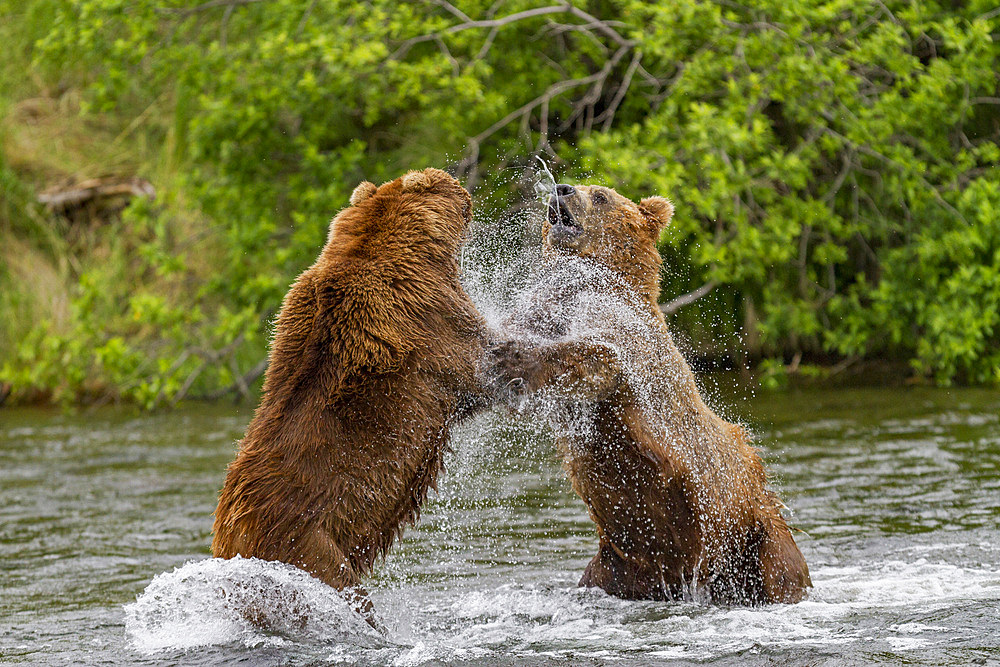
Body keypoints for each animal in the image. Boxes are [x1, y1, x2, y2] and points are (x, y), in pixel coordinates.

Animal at [213, 170, 490, 620]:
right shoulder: (429, 316)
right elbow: (486, 362)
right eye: (451, 184)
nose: (468, 191)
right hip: (309, 548)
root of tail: (229, 540)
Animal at [486, 183, 812, 604]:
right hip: (621, 564)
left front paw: (513, 360)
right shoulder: (549, 309)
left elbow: (596, 358)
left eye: (601, 195)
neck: (600, 279)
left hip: (755, 535)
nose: (562, 188)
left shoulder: (629, 339)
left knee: (781, 571)